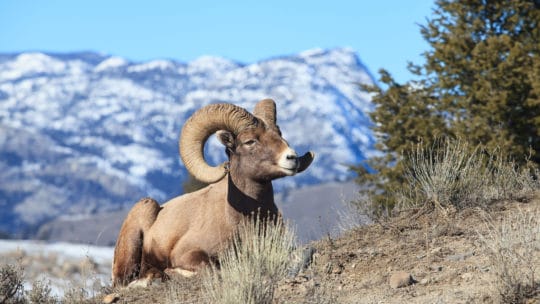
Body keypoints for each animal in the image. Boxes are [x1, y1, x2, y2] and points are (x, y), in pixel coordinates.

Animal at [112, 99, 314, 288]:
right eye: (250, 141)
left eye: (279, 134)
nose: (291, 158)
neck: (243, 217)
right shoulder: (187, 253)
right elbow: (212, 268)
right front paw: (173, 272)